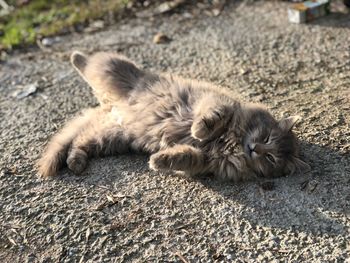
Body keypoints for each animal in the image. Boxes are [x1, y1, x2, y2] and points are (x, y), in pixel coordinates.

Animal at [37, 50, 308, 183]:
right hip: (111, 70)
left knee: (81, 139)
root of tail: (110, 106)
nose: (255, 149)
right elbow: (212, 118)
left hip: (111, 138)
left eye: (271, 158)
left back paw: (76, 161)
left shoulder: (204, 161)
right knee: (90, 63)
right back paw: (74, 56)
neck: (234, 143)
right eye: (266, 137)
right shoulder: (218, 102)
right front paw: (199, 130)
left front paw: (159, 160)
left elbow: (185, 157)